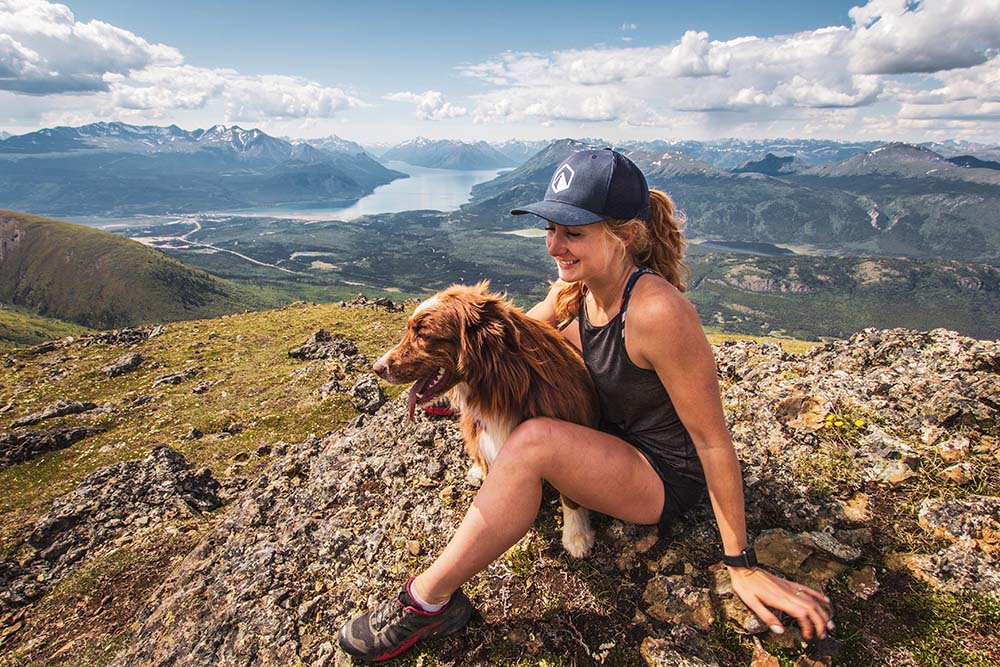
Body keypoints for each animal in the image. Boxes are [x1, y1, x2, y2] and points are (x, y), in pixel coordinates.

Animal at [374, 282, 592, 560]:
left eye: (423, 334)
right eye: (410, 329)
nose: (377, 368)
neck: (501, 384)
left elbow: (571, 497)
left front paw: (577, 536)